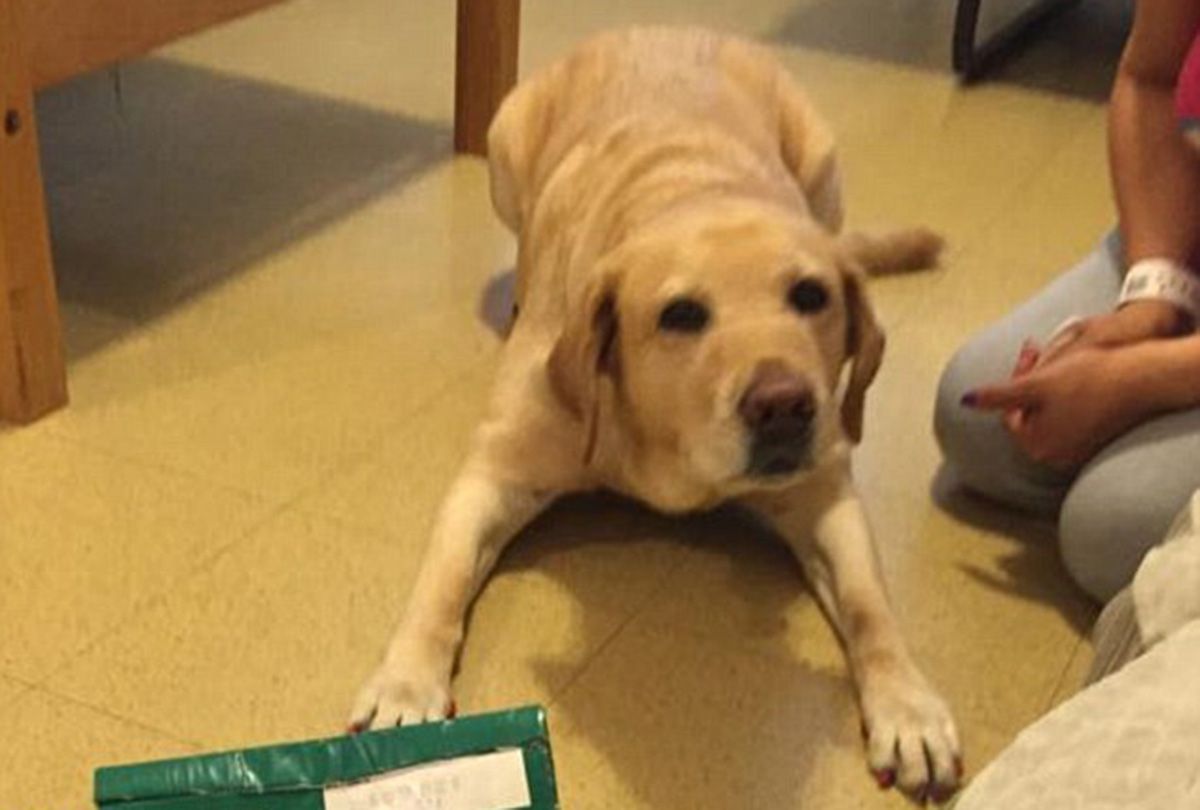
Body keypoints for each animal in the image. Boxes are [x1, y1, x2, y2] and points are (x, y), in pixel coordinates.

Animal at [351, 27, 961, 800]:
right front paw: (406, 685)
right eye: (682, 314)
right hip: (502, 145)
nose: (785, 407)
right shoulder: (493, 473)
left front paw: (908, 706)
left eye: (811, 296)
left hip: (824, 163)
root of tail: (663, 28)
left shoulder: (824, 490)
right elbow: (442, 581)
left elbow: (869, 605)